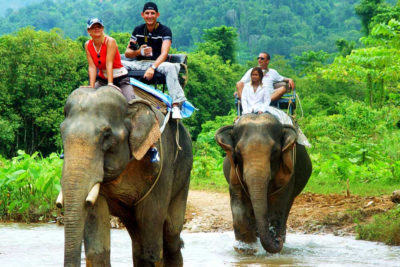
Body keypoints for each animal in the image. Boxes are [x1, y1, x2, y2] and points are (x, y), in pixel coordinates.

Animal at [57, 87, 193, 266]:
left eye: (106, 135)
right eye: (61, 133)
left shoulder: (162, 167)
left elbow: (152, 238)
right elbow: (96, 247)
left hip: (184, 176)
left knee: (171, 235)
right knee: (138, 238)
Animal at [216, 113, 312, 255]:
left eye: (274, 151)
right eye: (238, 152)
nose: (278, 241)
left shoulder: (288, 169)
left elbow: (278, 202)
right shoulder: (234, 172)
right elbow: (239, 204)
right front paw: (246, 249)